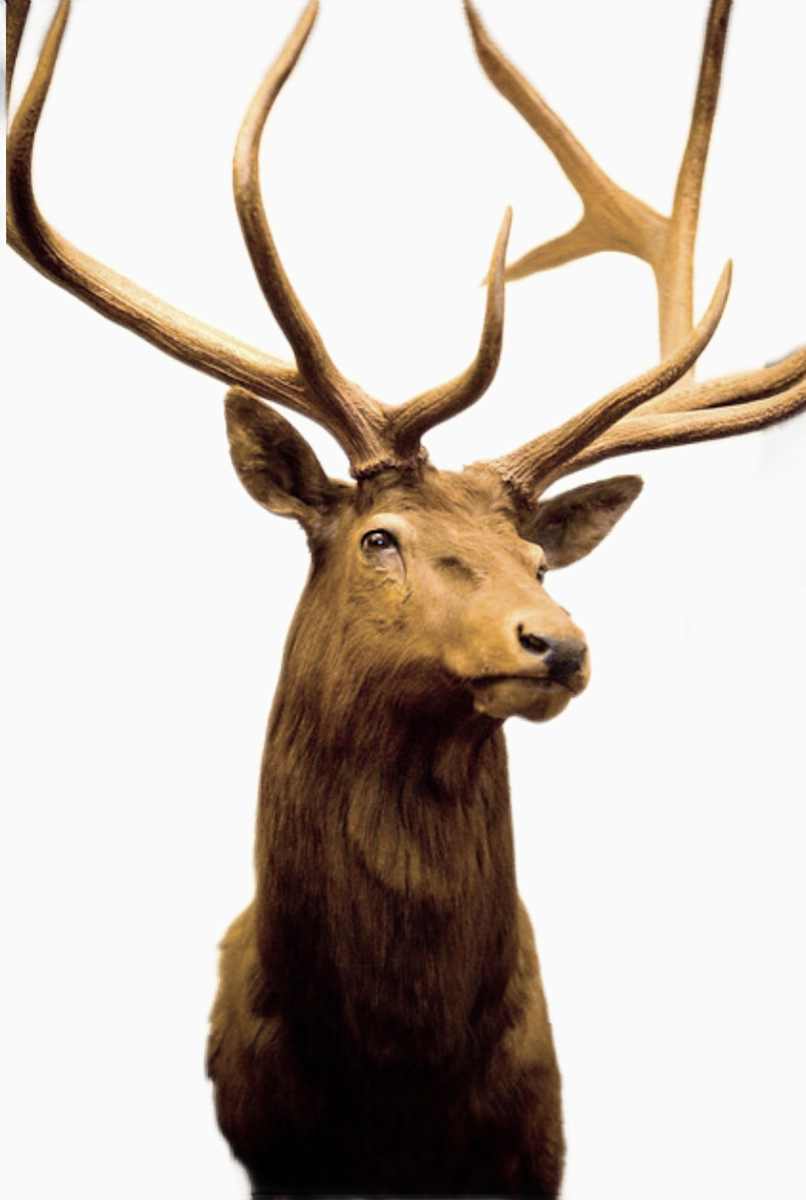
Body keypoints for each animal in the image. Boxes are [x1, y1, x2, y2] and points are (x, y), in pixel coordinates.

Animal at [6, 0, 804, 1196]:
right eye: (381, 538)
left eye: (538, 559)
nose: (556, 643)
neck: (394, 1091)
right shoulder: (269, 1152)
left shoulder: (537, 1146)